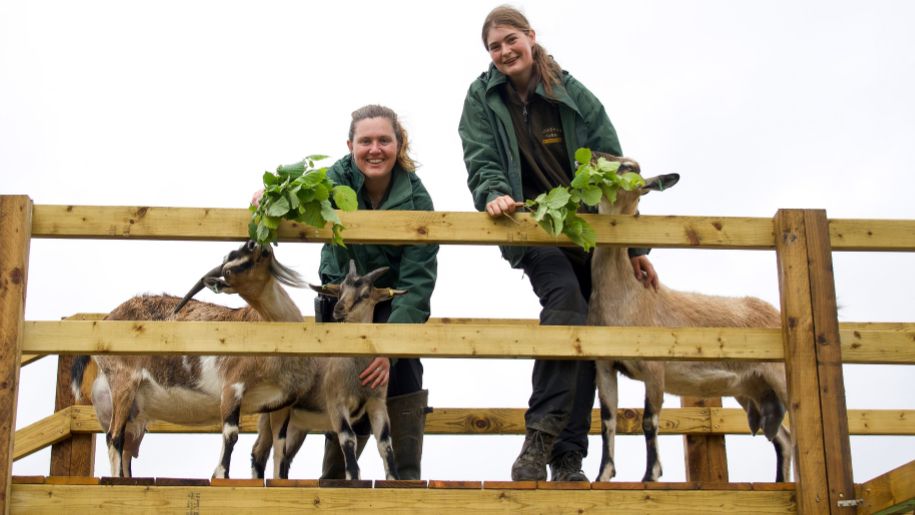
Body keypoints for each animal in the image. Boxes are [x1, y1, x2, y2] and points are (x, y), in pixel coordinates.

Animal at [70, 241, 398, 480]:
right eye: (230, 269)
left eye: (242, 252)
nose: (256, 243)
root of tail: (106, 319)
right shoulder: (233, 387)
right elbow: (230, 433)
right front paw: (221, 476)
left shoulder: (281, 403)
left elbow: (279, 449)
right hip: (123, 383)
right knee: (114, 438)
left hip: (137, 409)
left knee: (127, 445)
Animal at [592, 157, 792, 484]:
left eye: (630, 168)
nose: (592, 159)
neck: (628, 297)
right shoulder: (605, 365)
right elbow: (608, 420)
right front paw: (603, 476)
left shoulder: (655, 367)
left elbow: (650, 420)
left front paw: (650, 476)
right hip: (752, 387)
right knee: (784, 439)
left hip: (780, 376)